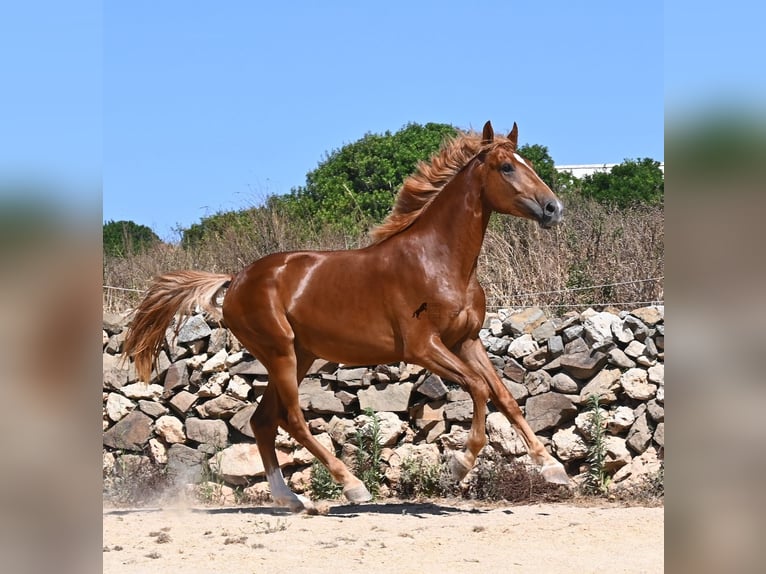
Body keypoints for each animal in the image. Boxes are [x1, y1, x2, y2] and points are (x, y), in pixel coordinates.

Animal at [122, 121, 568, 511]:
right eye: (507, 167)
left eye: (527, 162)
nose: (553, 209)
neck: (439, 260)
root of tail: (234, 281)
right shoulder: (423, 347)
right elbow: (478, 389)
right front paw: (460, 465)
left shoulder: (466, 341)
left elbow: (505, 397)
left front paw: (552, 467)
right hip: (281, 354)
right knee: (291, 419)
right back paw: (352, 485)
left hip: (299, 356)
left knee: (264, 421)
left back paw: (292, 500)